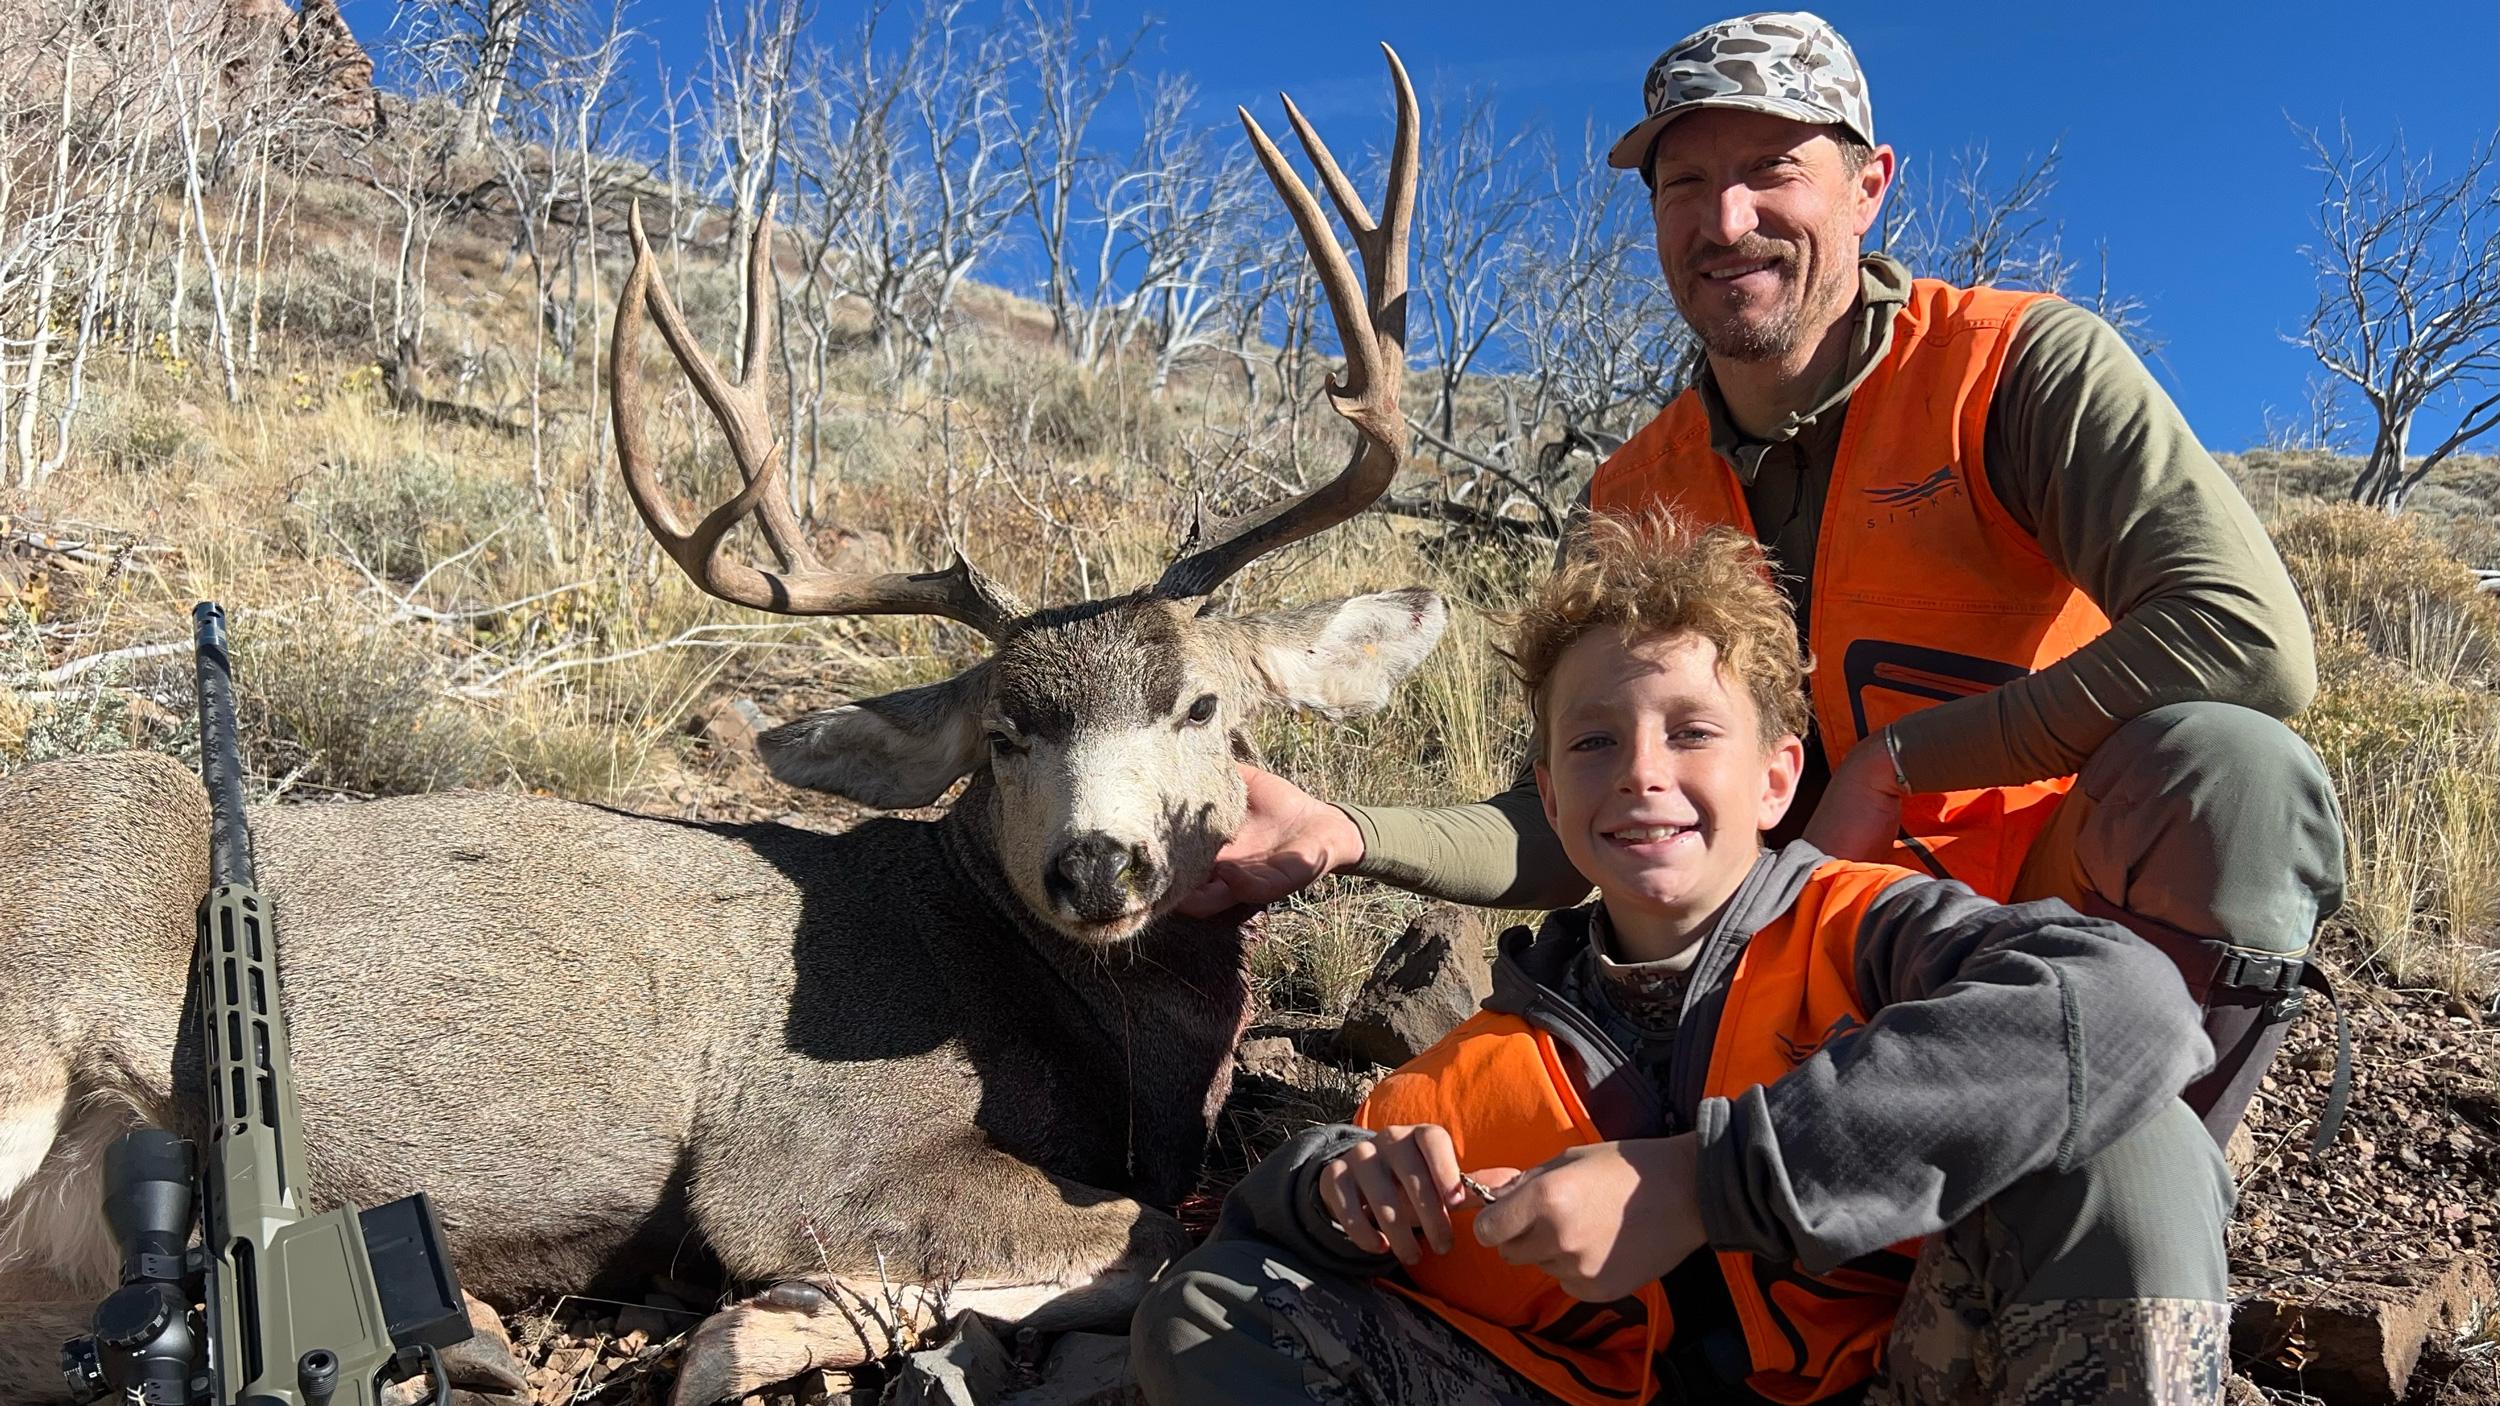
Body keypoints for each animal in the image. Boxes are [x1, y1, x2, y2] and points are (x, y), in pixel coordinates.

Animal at [0, 49, 1428, 1406]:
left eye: (1205, 705)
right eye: (1002, 734)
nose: (1095, 865)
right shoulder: (802, 1143)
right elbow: (1142, 1235)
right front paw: (755, 1331)